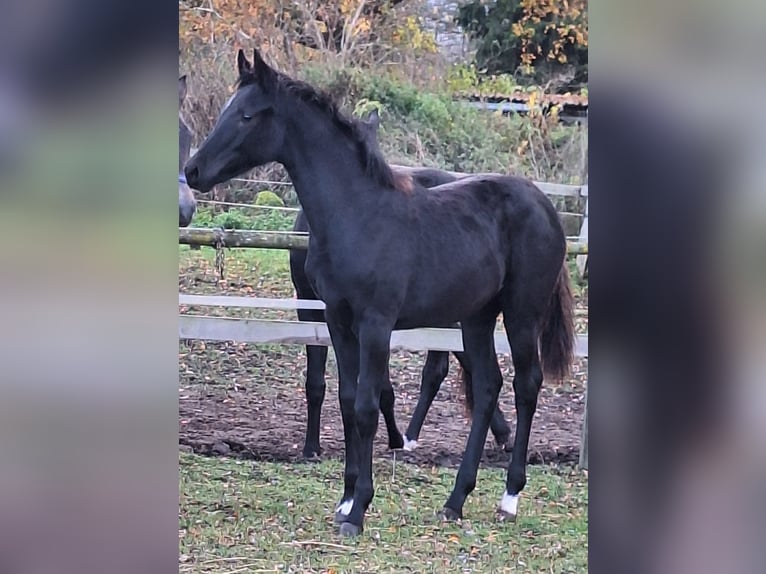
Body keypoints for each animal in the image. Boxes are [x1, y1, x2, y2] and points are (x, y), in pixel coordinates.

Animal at [290, 109, 512, 459]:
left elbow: (380, 386)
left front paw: (391, 437)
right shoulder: (313, 309)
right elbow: (316, 381)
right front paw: (312, 446)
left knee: (444, 368)